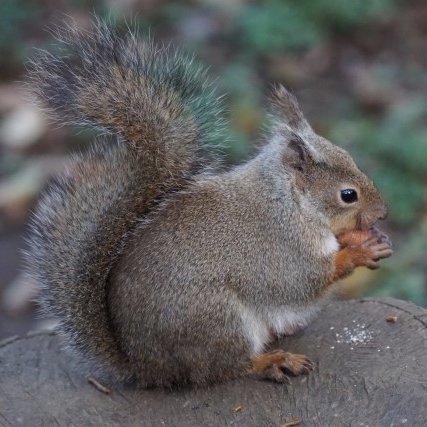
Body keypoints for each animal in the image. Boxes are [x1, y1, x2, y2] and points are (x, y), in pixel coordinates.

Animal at [25, 21, 394, 390]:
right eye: (348, 195)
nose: (383, 213)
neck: (291, 202)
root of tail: (144, 366)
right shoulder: (280, 248)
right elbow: (305, 280)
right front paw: (358, 252)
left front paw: (366, 239)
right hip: (217, 319)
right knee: (226, 368)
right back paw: (274, 361)